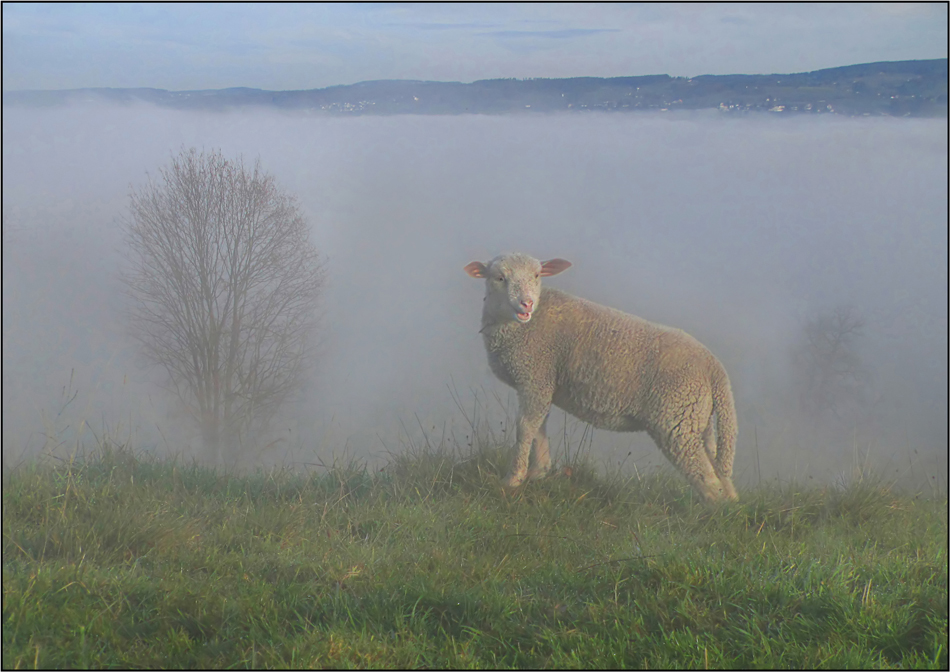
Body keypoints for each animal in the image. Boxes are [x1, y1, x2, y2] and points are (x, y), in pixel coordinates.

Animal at [464, 255, 740, 502]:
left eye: (537, 275)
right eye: (500, 278)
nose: (527, 304)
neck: (522, 326)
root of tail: (715, 368)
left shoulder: (536, 375)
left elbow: (525, 427)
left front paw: (512, 480)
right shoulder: (540, 382)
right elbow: (538, 426)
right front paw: (538, 472)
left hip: (677, 419)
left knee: (707, 479)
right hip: (696, 417)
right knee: (717, 468)